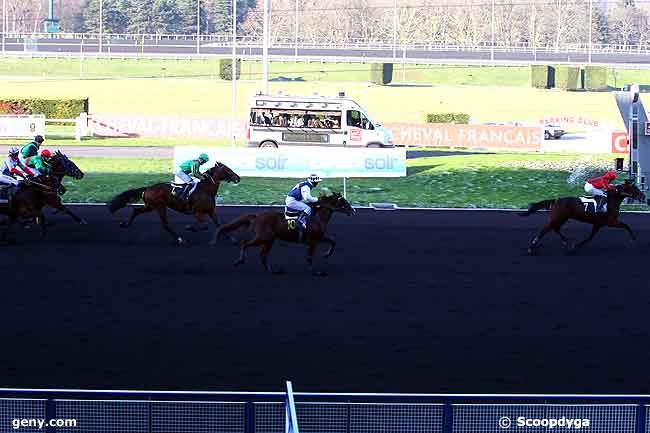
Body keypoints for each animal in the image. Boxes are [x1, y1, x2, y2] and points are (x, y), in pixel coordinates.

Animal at [109, 161, 240, 245]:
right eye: (227, 169)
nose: (238, 178)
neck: (206, 190)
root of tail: (148, 188)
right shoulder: (197, 212)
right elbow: (204, 225)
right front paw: (190, 227)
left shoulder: (211, 211)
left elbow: (219, 224)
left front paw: (233, 239)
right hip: (160, 206)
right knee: (165, 224)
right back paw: (180, 240)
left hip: (150, 206)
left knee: (136, 210)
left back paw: (125, 224)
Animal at [210, 192, 354, 276]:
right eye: (343, 201)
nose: (353, 210)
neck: (317, 217)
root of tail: (257, 216)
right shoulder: (313, 240)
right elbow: (310, 257)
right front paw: (316, 271)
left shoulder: (319, 238)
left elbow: (333, 241)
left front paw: (326, 255)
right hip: (264, 237)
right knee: (246, 244)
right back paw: (240, 260)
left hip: (269, 240)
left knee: (262, 255)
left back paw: (272, 270)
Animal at [516, 178, 644, 253]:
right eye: (634, 188)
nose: (643, 197)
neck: (612, 200)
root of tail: (556, 200)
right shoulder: (611, 222)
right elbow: (626, 225)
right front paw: (633, 238)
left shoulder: (598, 224)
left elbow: (590, 237)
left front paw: (577, 245)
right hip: (558, 217)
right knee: (546, 229)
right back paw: (531, 248)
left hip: (561, 218)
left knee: (555, 228)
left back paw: (567, 242)